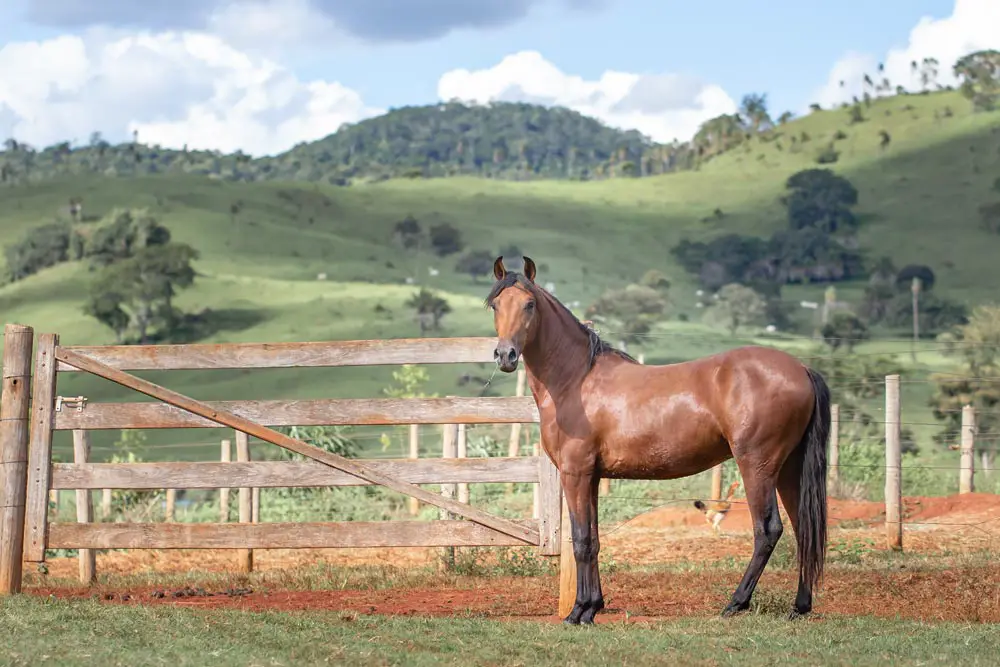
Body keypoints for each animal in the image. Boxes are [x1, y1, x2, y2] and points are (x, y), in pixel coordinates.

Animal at [484, 256, 828, 628]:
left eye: (529, 304)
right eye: (495, 304)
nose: (506, 355)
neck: (576, 380)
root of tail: (801, 369)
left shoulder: (575, 474)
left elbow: (581, 540)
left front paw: (577, 612)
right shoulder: (592, 477)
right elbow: (595, 539)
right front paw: (592, 606)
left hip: (757, 466)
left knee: (768, 530)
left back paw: (735, 603)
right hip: (789, 469)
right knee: (803, 529)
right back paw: (799, 606)